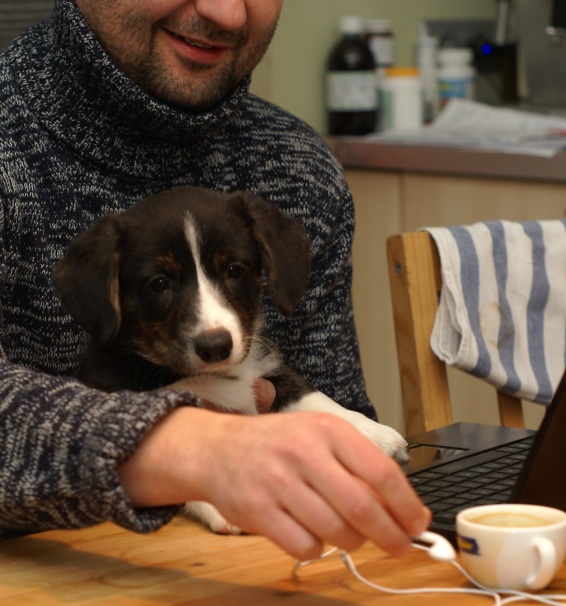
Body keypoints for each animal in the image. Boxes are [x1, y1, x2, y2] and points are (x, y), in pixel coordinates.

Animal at [53, 188, 408, 536]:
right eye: (159, 283)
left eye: (234, 270)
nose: (215, 346)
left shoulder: (267, 368)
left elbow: (314, 398)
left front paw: (369, 434)